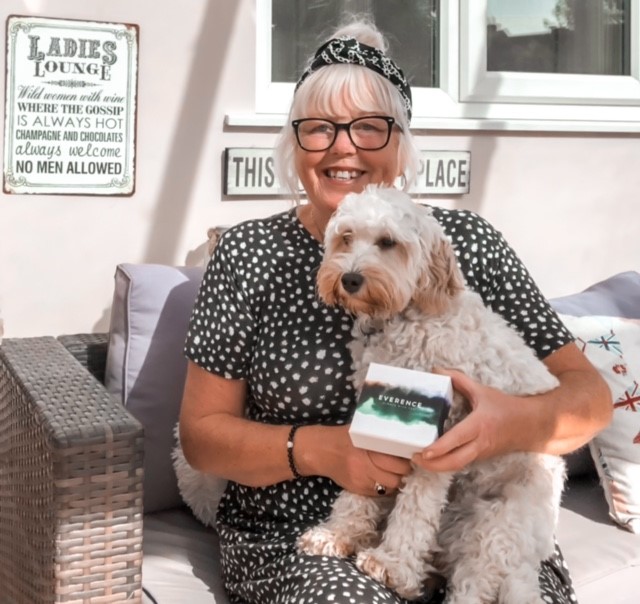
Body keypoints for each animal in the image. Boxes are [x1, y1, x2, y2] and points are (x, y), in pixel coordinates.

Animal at [298, 186, 568, 600]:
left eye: (388, 242)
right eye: (346, 237)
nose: (349, 278)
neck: (402, 318)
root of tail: (528, 563)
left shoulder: (441, 440)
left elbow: (416, 506)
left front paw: (392, 563)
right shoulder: (374, 417)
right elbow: (361, 481)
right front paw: (340, 532)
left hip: (493, 532)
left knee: (471, 588)